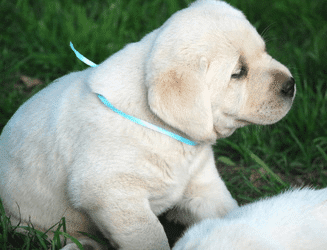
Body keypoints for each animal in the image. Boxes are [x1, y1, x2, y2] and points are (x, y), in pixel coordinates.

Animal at [0, 0, 296, 250]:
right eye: (238, 73)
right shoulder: (114, 196)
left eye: (264, 51)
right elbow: (151, 238)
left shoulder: (202, 184)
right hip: (28, 218)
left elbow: (229, 213)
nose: (291, 85)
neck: (164, 131)